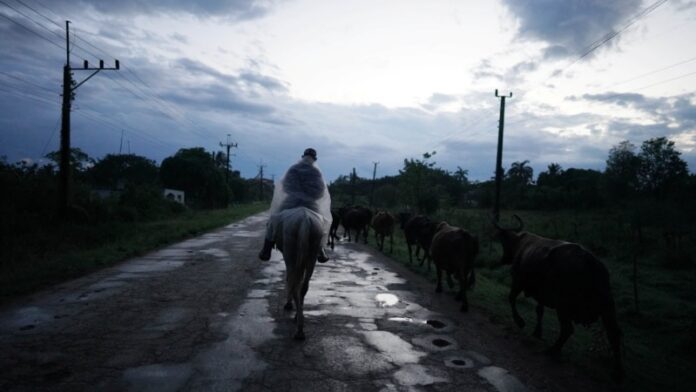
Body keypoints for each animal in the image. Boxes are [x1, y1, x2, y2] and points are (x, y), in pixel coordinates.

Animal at [272, 207, 326, 338]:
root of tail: (305, 221)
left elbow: (289, 279)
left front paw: (288, 304)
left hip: (292, 253)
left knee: (295, 283)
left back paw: (298, 330)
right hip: (311, 254)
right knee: (303, 286)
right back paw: (299, 321)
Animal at [492, 216, 624, 382]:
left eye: (504, 243)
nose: (504, 259)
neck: (521, 245)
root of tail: (591, 264)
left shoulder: (518, 280)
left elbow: (511, 298)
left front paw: (520, 322)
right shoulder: (541, 293)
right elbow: (539, 310)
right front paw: (537, 332)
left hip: (563, 305)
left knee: (567, 329)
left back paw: (553, 349)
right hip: (608, 307)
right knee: (614, 334)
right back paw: (617, 371)